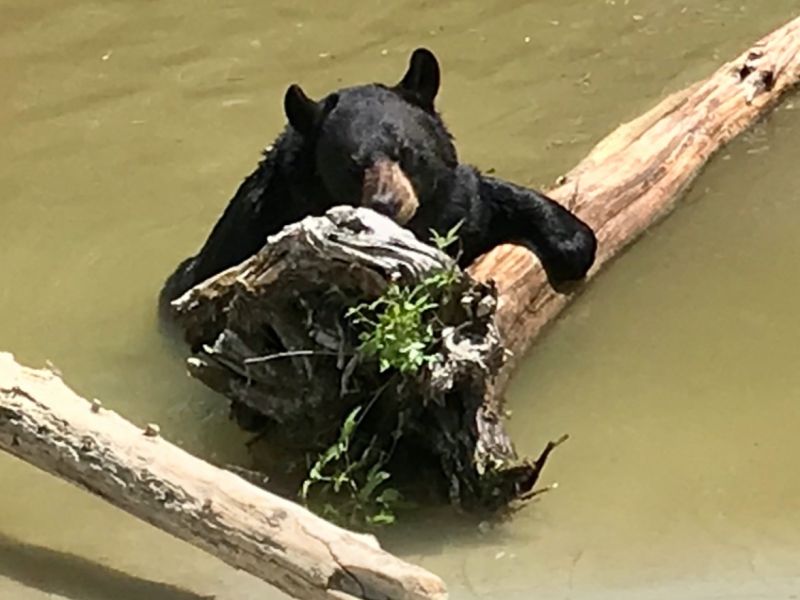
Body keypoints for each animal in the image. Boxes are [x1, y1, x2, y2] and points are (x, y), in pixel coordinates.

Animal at [159, 48, 596, 314]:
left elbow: (481, 200)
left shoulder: (451, 202)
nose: (389, 202)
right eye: (352, 165)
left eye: (406, 151)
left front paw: (572, 243)